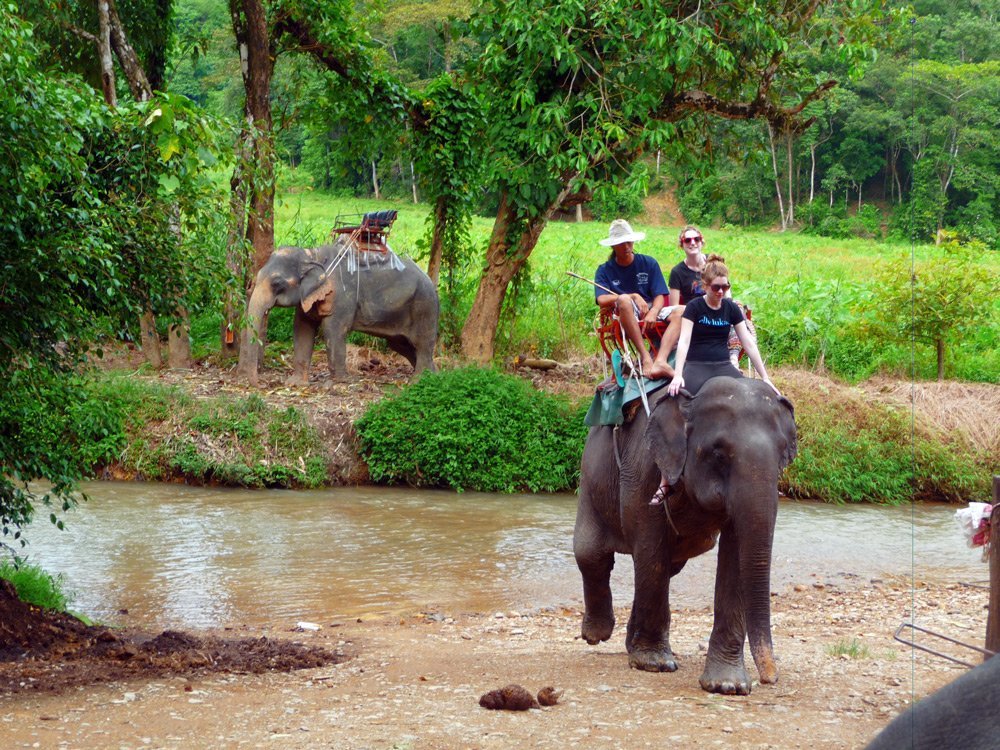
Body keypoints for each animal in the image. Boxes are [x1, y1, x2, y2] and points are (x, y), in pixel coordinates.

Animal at [236, 239, 440, 388]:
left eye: (277, 283)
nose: (262, 385)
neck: (312, 254)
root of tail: (430, 281)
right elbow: (302, 329)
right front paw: (295, 383)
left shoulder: (342, 296)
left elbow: (333, 331)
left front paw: (337, 383)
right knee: (401, 345)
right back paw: (432, 375)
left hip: (425, 305)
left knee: (422, 342)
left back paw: (418, 380)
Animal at [580, 378, 796, 696]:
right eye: (718, 453)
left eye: (783, 455)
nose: (770, 678)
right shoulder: (645, 467)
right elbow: (651, 549)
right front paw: (654, 664)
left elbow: (736, 555)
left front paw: (727, 686)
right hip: (591, 472)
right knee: (592, 554)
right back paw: (597, 634)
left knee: (666, 566)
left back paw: (630, 643)